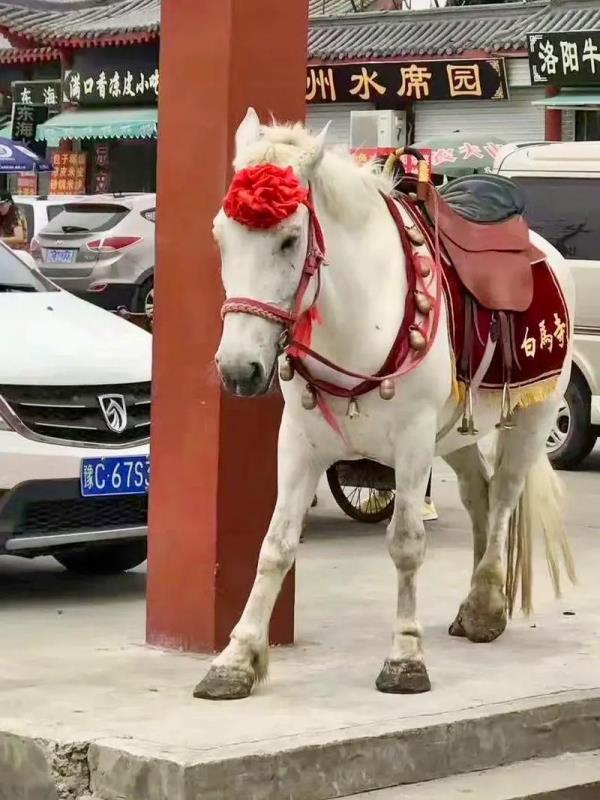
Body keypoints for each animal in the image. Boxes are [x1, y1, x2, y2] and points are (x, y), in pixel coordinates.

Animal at [195, 108, 576, 700]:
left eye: (289, 240)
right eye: (220, 236)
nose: (239, 368)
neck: (357, 318)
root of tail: (543, 248)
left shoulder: (413, 441)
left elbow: (405, 543)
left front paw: (405, 658)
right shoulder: (299, 442)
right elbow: (275, 544)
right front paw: (236, 659)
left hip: (532, 416)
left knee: (505, 495)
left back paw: (486, 603)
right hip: (456, 432)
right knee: (479, 493)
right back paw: (473, 602)